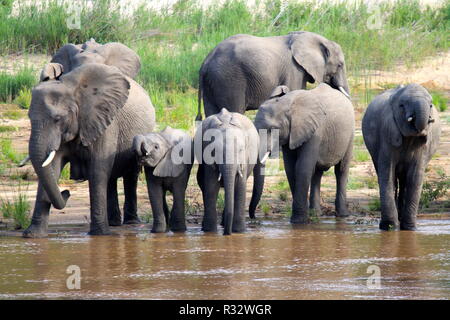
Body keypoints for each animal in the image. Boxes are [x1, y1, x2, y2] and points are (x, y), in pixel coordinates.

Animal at [24, 63, 155, 238]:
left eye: (57, 119)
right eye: (29, 118)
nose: (66, 192)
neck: (73, 90)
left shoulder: (104, 121)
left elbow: (97, 170)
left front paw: (100, 235)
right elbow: (51, 167)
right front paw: (33, 235)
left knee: (130, 174)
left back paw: (130, 223)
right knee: (111, 178)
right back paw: (113, 223)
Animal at [196, 31, 348, 119]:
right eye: (340, 65)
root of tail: (206, 62)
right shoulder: (294, 69)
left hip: (214, 81)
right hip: (229, 79)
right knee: (234, 110)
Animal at [251, 82, 354, 222]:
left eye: (272, 130)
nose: (253, 217)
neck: (288, 104)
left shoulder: (315, 131)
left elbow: (302, 168)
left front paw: (299, 221)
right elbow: (290, 169)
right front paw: (303, 218)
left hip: (349, 135)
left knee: (341, 170)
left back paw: (342, 215)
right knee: (316, 173)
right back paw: (316, 214)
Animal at [360, 84, 442, 231]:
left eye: (431, 105)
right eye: (402, 105)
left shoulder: (423, 147)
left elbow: (415, 177)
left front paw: (410, 229)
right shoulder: (387, 133)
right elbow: (387, 174)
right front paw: (389, 227)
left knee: (404, 180)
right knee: (392, 179)